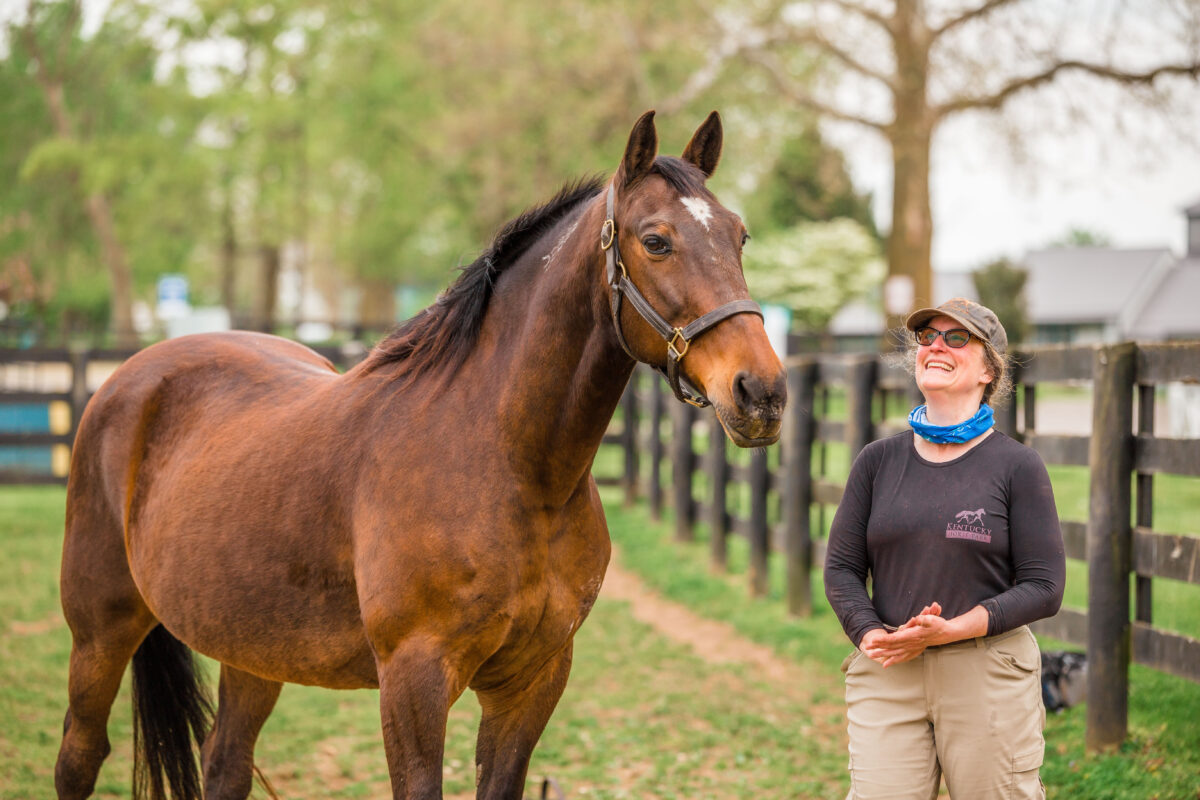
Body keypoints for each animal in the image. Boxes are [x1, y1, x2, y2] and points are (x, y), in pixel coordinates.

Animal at [56, 110, 787, 800]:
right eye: (656, 240)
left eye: (739, 236)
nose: (762, 393)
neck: (510, 466)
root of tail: (131, 375)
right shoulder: (414, 679)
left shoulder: (534, 680)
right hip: (101, 633)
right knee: (79, 758)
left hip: (252, 649)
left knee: (225, 762)